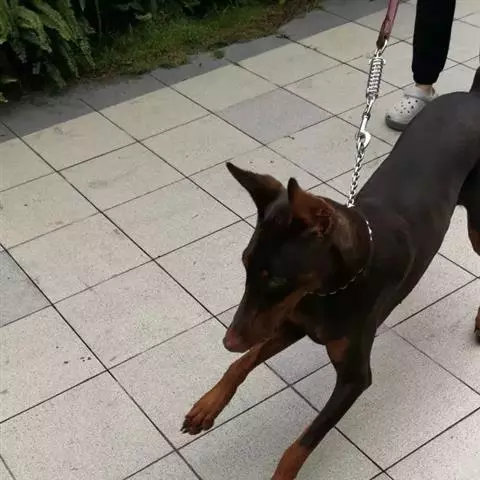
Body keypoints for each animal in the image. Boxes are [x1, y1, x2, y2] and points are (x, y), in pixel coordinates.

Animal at [181, 67, 480, 479]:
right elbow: (241, 363)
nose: (227, 340)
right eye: (244, 262)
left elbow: (298, 446)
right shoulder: (293, 323)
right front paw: (207, 406)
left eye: (276, 278)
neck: (331, 289)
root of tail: (475, 95)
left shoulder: (354, 378)